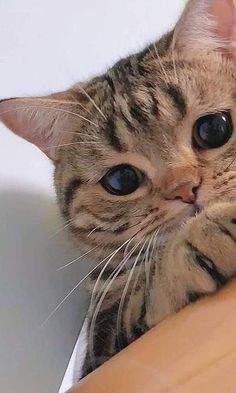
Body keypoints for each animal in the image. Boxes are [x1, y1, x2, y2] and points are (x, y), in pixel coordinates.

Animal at [1, 0, 236, 380]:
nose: (185, 189)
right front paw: (206, 232)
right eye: (122, 180)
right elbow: (147, 293)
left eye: (214, 128)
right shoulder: (103, 340)